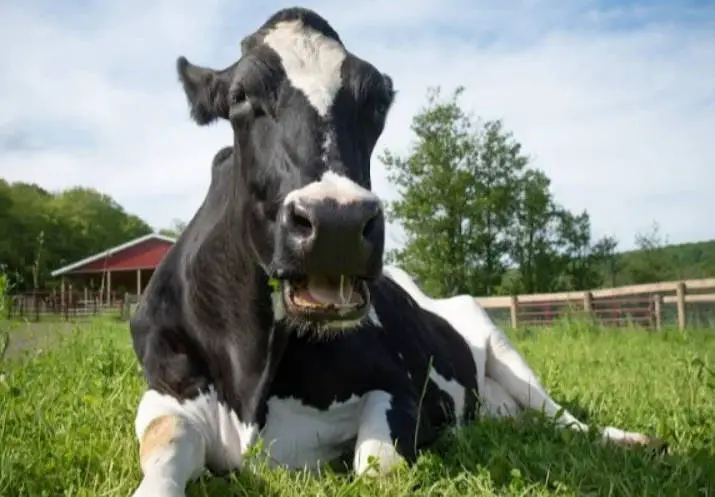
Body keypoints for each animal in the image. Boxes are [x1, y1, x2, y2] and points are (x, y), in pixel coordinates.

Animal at [129, 7, 667, 497]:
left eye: (378, 102)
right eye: (241, 97)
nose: (337, 222)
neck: (254, 375)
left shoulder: (404, 391)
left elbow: (376, 467)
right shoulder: (164, 389)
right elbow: (166, 442)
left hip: (497, 338)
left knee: (560, 417)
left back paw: (629, 440)